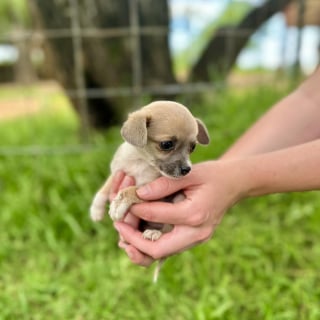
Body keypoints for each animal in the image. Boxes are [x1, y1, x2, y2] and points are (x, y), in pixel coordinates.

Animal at [90, 100, 210, 278]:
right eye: (166, 144)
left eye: (193, 147)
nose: (187, 170)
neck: (140, 161)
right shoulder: (117, 171)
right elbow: (104, 187)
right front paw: (96, 209)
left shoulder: (151, 190)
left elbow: (132, 190)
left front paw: (118, 204)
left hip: (178, 199)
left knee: (168, 227)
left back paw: (154, 232)